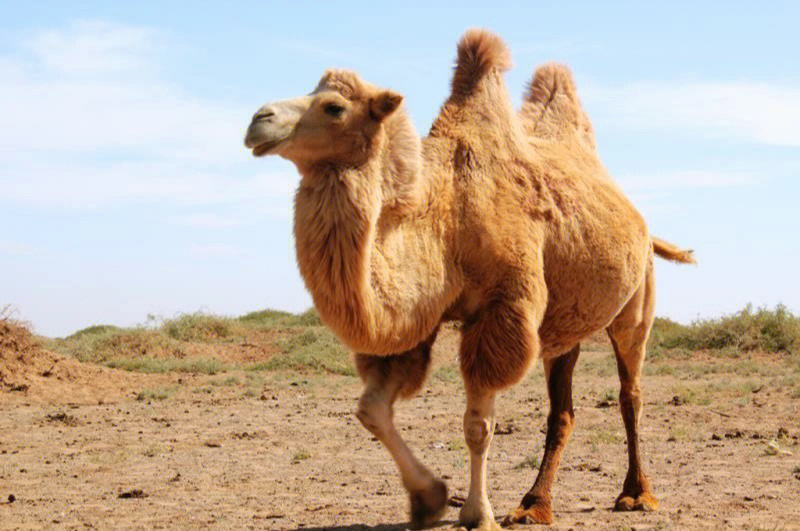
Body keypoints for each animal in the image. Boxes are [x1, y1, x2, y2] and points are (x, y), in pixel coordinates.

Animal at [244, 30, 692, 531]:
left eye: (334, 107)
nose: (258, 120)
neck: (445, 218)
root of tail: (643, 225)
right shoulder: (420, 319)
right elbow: (371, 409)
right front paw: (429, 499)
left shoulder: (501, 310)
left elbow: (477, 426)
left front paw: (477, 513)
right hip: (564, 327)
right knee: (563, 410)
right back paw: (534, 504)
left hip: (637, 303)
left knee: (630, 393)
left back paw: (636, 495)